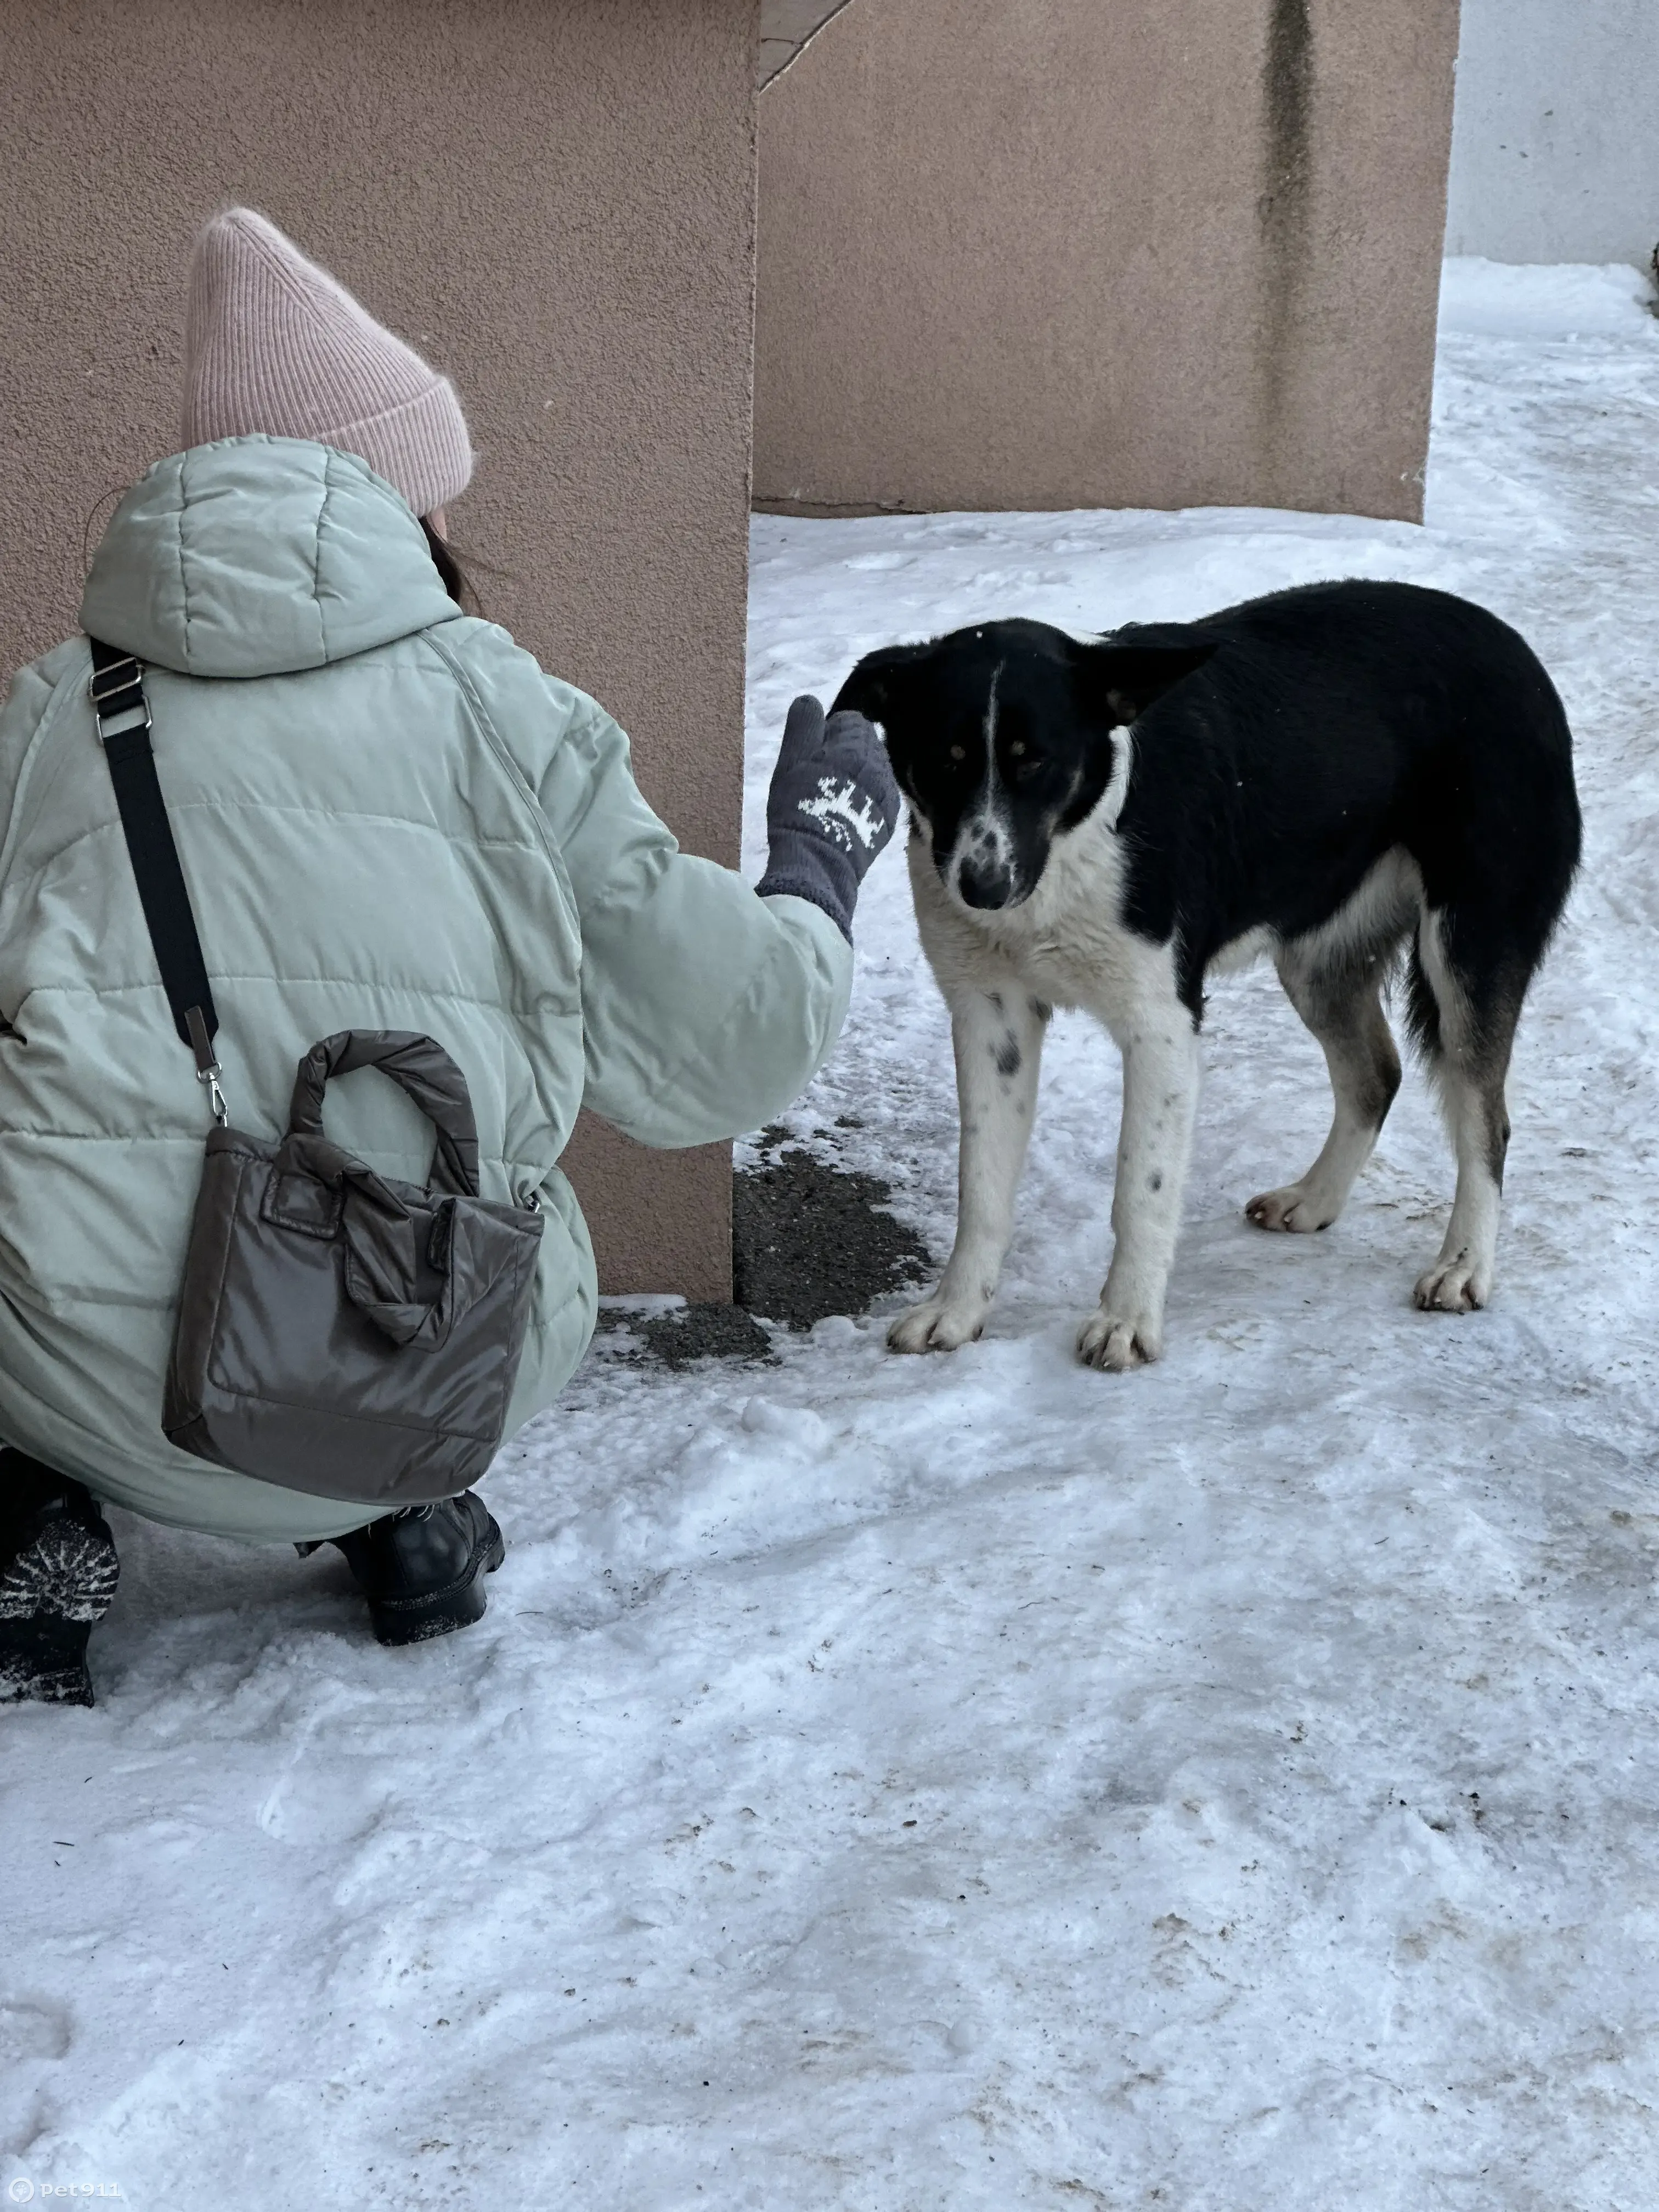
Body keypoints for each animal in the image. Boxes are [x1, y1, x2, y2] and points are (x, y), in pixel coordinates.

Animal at [845, 579, 1583, 1362]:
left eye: (1034, 762)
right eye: (944, 759)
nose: (980, 888)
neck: (1078, 844)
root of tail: (1516, 648)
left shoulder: (1160, 1026)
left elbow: (1141, 1188)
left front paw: (1128, 1320)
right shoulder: (991, 1017)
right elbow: (981, 1188)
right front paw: (957, 1310)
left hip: (1470, 944)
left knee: (1486, 1121)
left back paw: (1464, 1265)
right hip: (1320, 958)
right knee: (1375, 1075)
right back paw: (1316, 1199)